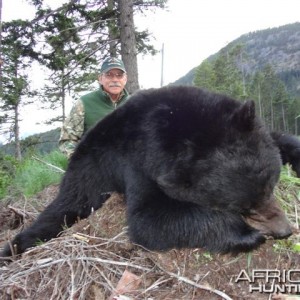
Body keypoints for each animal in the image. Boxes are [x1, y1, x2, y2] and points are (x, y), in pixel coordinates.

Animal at [0, 85, 290, 258]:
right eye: (244, 208)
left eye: (271, 185)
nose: (286, 230)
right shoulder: (140, 161)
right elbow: (149, 219)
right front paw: (248, 234)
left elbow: (283, 139)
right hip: (88, 173)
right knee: (66, 207)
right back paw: (13, 247)